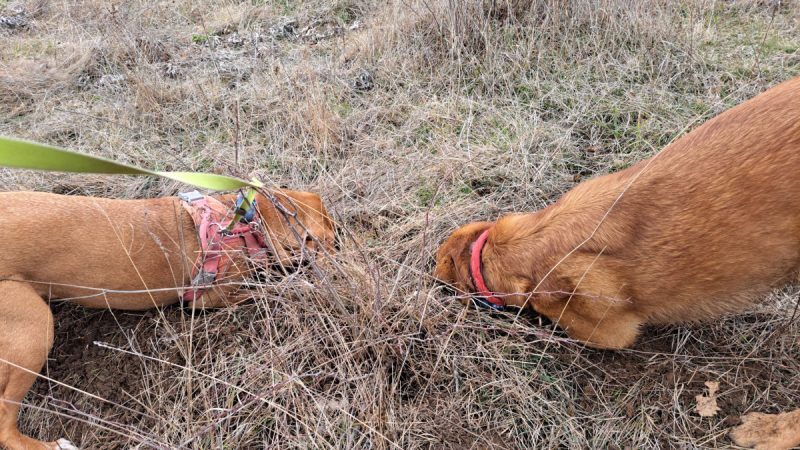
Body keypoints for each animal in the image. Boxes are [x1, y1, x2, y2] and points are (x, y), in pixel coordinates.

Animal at [0, 188, 334, 448]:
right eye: (328, 239)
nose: (340, 262)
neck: (237, 219)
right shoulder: (212, 298)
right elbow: (272, 289)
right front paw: (304, 287)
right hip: (35, 325)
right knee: (5, 424)